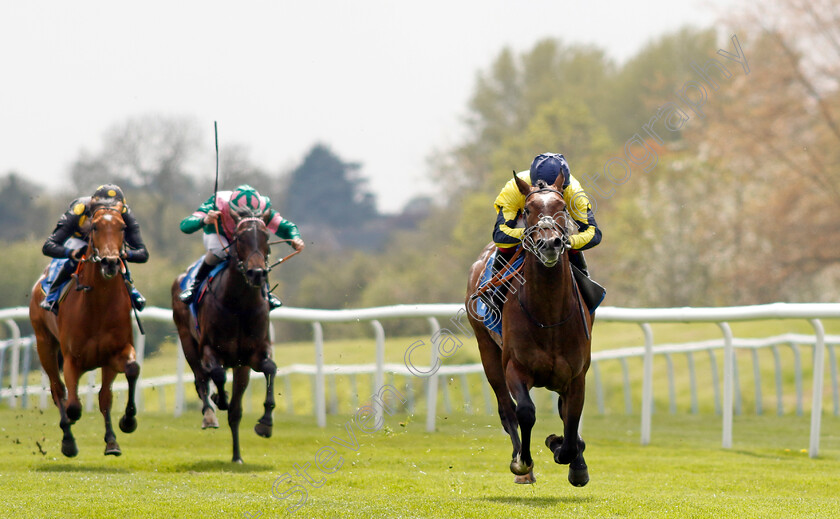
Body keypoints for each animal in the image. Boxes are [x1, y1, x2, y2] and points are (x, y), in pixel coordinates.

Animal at [30, 201, 139, 458]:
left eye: (122, 227)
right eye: (95, 227)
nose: (110, 262)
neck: (99, 306)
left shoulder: (114, 354)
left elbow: (124, 378)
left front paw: (125, 424)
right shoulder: (72, 359)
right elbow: (73, 405)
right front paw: (69, 432)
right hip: (44, 343)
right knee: (58, 390)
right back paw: (68, 439)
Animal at [173, 209, 278, 466]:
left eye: (266, 237)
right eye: (240, 238)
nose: (257, 273)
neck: (239, 306)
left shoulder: (252, 355)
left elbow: (270, 368)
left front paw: (265, 423)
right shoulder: (210, 349)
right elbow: (218, 375)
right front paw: (219, 398)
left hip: (241, 367)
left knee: (235, 411)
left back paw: (237, 455)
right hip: (187, 342)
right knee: (201, 378)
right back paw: (210, 414)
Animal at [466, 175, 592, 488]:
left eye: (562, 207)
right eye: (528, 209)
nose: (549, 243)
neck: (549, 316)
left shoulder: (576, 375)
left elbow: (571, 421)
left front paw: (571, 457)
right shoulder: (515, 366)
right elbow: (525, 411)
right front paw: (523, 461)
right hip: (487, 352)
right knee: (506, 409)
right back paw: (522, 466)